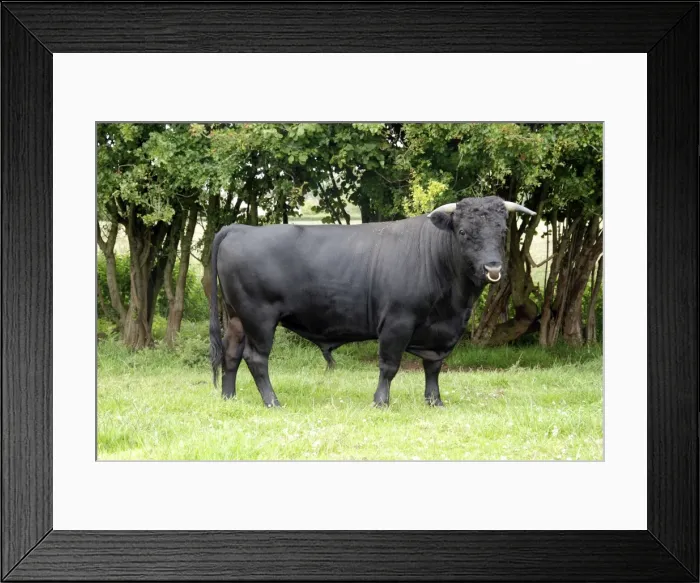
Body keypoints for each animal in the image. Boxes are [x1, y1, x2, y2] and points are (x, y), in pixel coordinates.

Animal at [209, 195, 535, 408]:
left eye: (502, 231)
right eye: (465, 232)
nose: (493, 267)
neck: (454, 305)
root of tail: (238, 228)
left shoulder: (440, 332)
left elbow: (433, 366)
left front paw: (434, 402)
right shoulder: (397, 322)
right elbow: (389, 365)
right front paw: (381, 402)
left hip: (236, 317)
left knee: (231, 354)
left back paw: (228, 398)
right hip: (259, 317)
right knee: (256, 358)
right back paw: (272, 401)